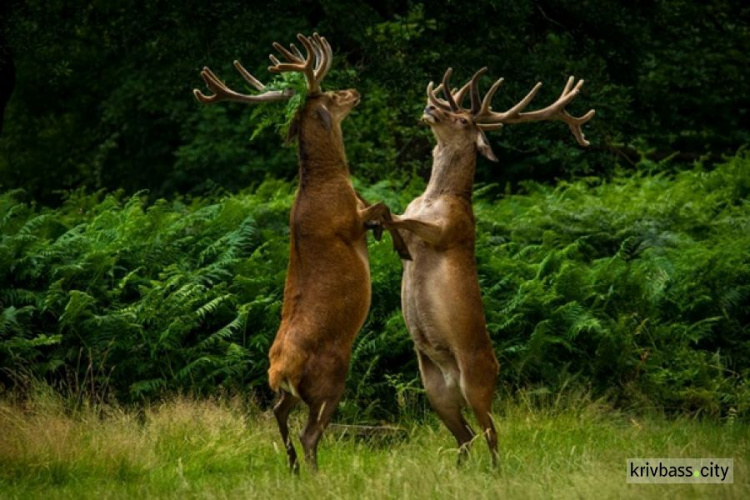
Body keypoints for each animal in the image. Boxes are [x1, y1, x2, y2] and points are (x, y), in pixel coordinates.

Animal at [192, 33, 406, 470]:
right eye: (331, 94)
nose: (355, 91)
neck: (328, 181)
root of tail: (279, 371)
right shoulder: (349, 221)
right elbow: (382, 207)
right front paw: (397, 242)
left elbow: (381, 207)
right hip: (330, 377)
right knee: (311, 433)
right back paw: (314, 471)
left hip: (290, 392)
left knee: (278, 413)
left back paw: (291, 466)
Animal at [384, 67, 596, 464]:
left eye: (463, 119)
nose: (429, 108)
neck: (435, 198)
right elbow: (396, 218)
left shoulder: (451, 230)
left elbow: (401, 218)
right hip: (435, 390)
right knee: (465, 435)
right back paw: (460, 468)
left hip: (477, 382)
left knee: (492, 434)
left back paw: (495, 470)